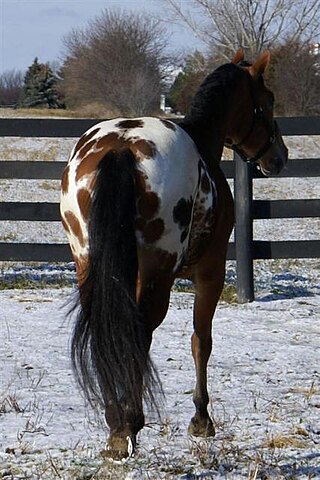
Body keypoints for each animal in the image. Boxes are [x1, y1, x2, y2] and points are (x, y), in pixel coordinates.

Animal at [59, 48, 288, 462]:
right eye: (268, 101)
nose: (280, 157)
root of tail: (122, 146)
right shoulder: (210, 273)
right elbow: (201, 341)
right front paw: (201, 419)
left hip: (87, 264)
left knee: (105, 332)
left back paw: (116, 422)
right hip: (158, 274)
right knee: (138, 333)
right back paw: (129, 424)